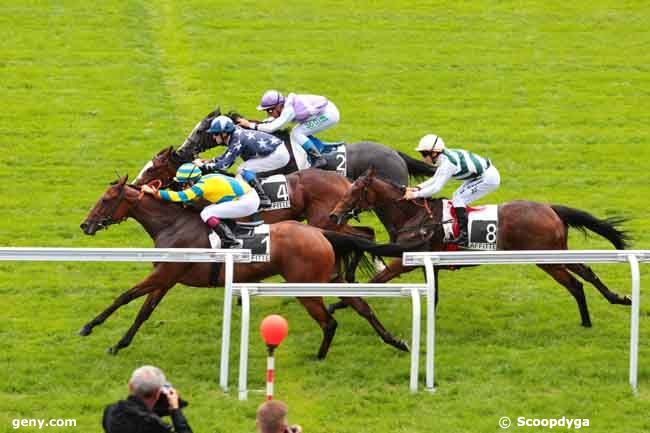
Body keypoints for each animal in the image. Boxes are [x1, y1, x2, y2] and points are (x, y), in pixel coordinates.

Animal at [79, 176, 410, 358]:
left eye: (106, 199)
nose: (85, 225)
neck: (171, 225)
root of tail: (319, 233)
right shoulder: (166, 278)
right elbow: (144, 312)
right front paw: (119, 344)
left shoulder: (163, 274)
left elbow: (124, 297)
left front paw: (89, 326)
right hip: (329, 278)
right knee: (361, 305)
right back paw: (395, 341)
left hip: (305, 286)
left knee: (329, 322)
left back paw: (319, 356)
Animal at [330, 167, 628, 326]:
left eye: (353, 191)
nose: (333, 215)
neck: (414, 216)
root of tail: (551, 209)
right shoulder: (428, 264)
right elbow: (432, 295)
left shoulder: (404, 260)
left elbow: (378, 278)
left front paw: (338, 304)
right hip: (556, 253)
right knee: (583, 275)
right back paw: (606, 307)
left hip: (546, 257)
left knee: (576, 281)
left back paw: (603, 308)